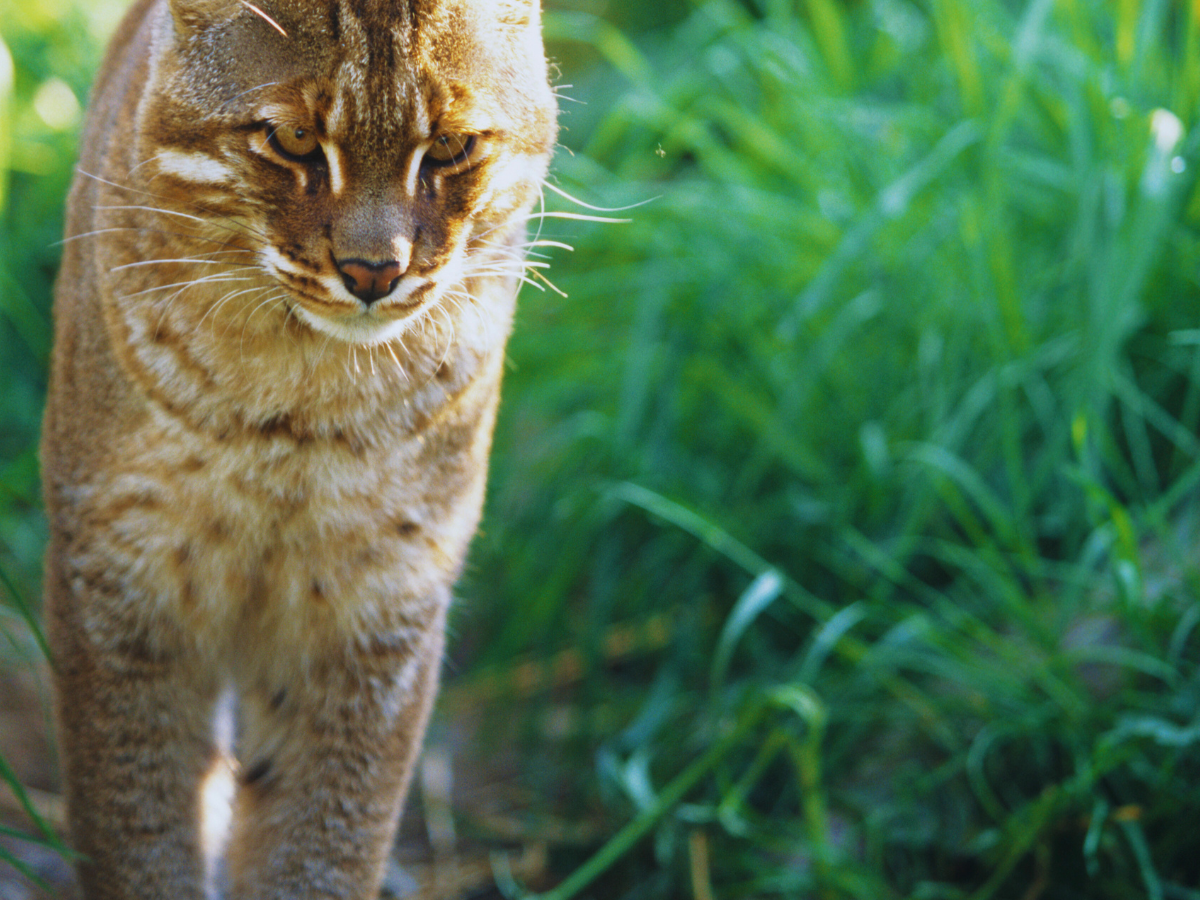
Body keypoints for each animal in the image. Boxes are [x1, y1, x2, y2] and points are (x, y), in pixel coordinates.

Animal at [41, 1, 556, 897]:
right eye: (291, 140)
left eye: (451, 146)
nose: (373, 272)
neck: (299, 414)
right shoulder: (118, 592)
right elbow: (138, 835)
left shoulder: (377, 611)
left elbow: (321, 844)